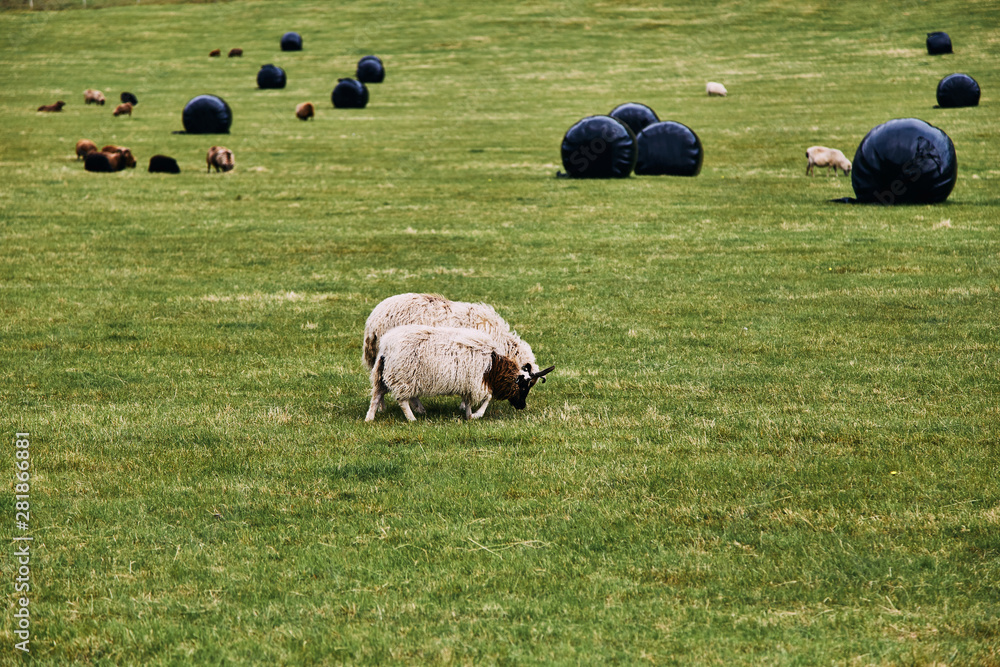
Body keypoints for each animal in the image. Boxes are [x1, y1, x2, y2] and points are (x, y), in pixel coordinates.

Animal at [365, 325, 554, 422]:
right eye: (524, 387)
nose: (522, 406)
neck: (494, 366)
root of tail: (386, 346)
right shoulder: (477, 381)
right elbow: (487, 398)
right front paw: (477, 415)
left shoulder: (467, 383)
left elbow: (468, 400)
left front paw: (469, 414)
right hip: (403, 376)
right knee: (402, 400)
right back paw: (412, 419)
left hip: (384, 375)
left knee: (377, 395)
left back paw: (370, 418)